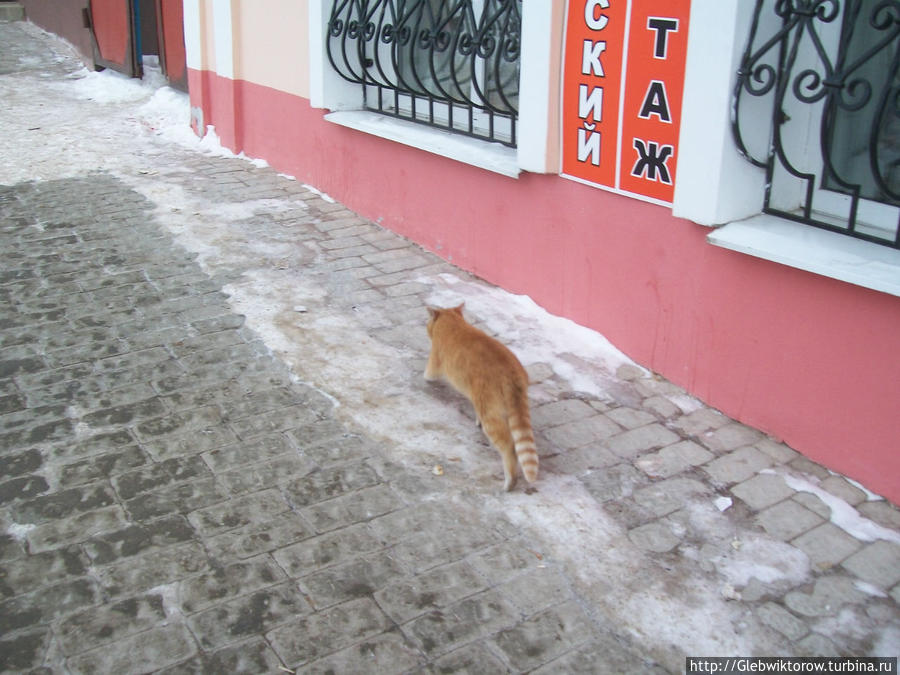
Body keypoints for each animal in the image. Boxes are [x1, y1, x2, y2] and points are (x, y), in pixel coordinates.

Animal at [426, 304, 536, 492]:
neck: (453, 322)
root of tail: (513, 373)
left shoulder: (435, 358)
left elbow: (429, 372)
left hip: (490, 412)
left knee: (509, 447)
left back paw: (510, 480)